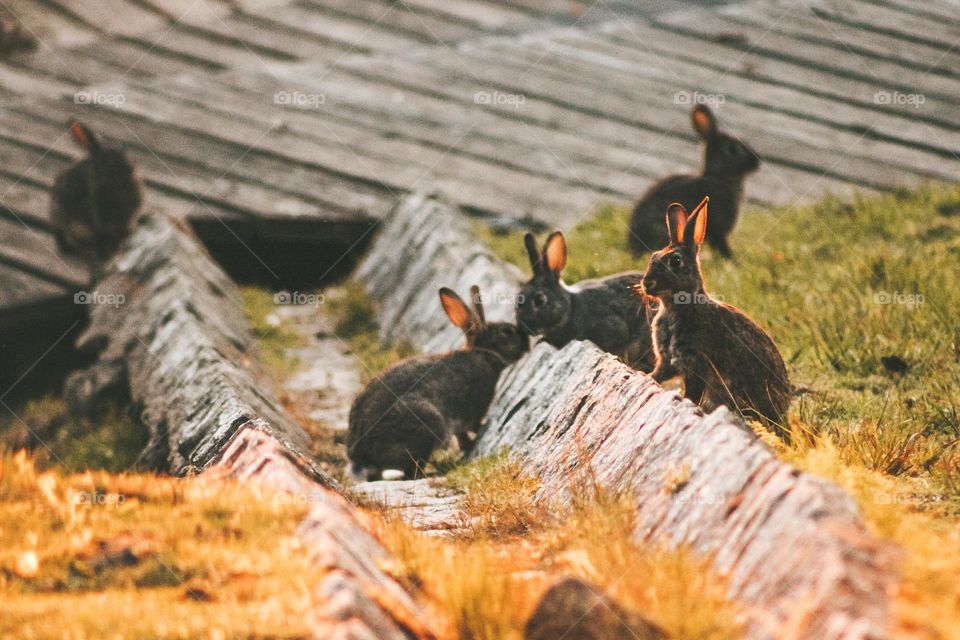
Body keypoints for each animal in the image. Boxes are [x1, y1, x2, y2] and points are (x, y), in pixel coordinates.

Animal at [346, 284, 528, 480]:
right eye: (507, 331)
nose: (527, 343)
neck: (483, 354)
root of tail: (362, 457)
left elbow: (462, 436)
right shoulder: (475, 406)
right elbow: (472, 426)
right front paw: (481, 430)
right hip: (429, 423)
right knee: (413, 471)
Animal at [628, 105, 760, 258]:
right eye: (732, 149)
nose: (757, 162)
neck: (720, 176)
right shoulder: (718, 228)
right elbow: (721, 244)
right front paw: (731, 257)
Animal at [640, 198, 792, 432]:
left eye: (676, 261)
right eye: (653, 256)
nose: (647, 283)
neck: (678, 305)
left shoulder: (696, 364)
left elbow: (692, 391)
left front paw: (686, 403)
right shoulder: (667, 360)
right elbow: (659, 374)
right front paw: (645, 377)